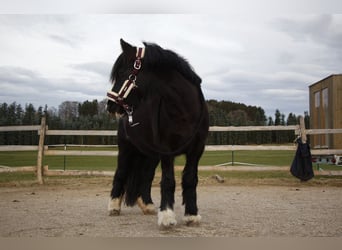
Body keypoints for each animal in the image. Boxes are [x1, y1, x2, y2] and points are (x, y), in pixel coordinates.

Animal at [107, 38, 208, 227]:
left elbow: (190, 179)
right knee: (121, 173)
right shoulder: (167, 150)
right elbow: (168, 181)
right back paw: (114, 206)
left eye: (123, 73)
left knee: (146, 177)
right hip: (126, 149)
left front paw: (191, 214)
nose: (110, 105)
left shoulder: (196, 151)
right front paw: (167, 216)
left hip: (150, 155)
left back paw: (148, 205)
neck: (184, 111)